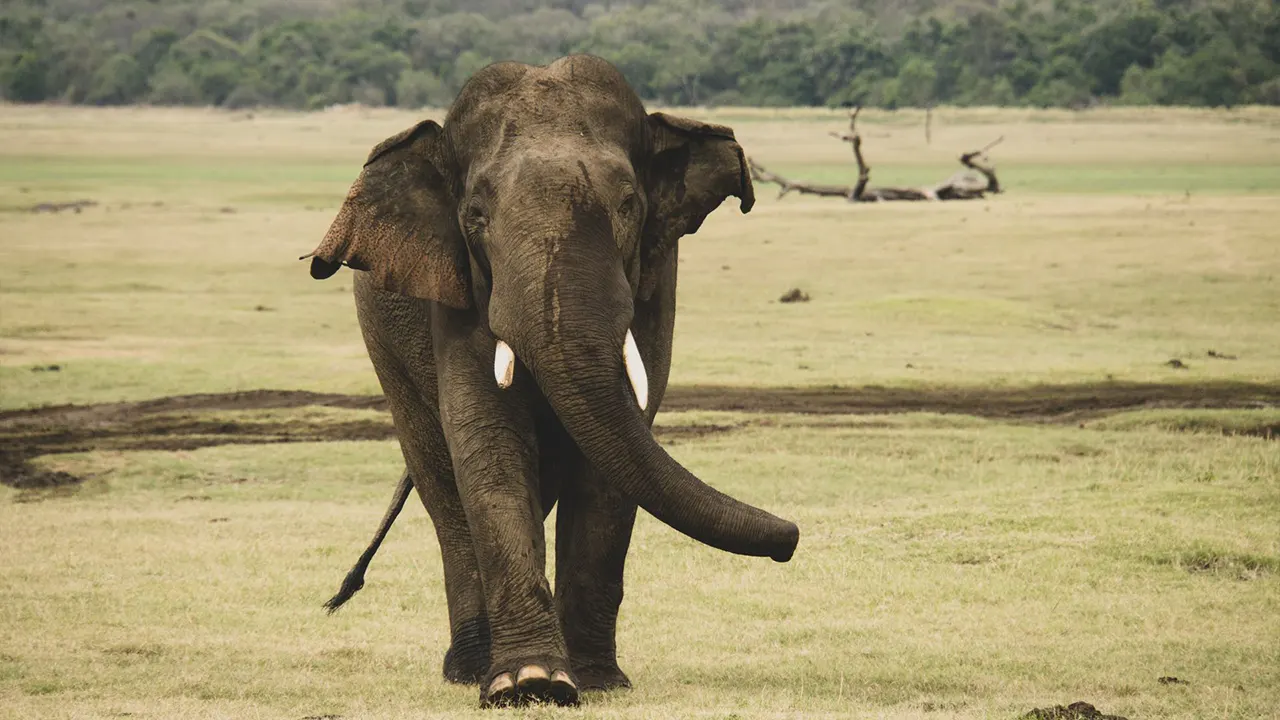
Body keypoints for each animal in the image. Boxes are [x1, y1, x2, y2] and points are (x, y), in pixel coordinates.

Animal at [302, 54, 799, 708]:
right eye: (475, 216)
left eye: (628, 205)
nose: (790, 538)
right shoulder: (456, 282)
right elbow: (487, 439)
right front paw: (528, 684)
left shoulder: (656, 277)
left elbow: (613, 462)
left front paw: (596, 681)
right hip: (386, 351)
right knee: (443, 489)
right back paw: (469, 668)